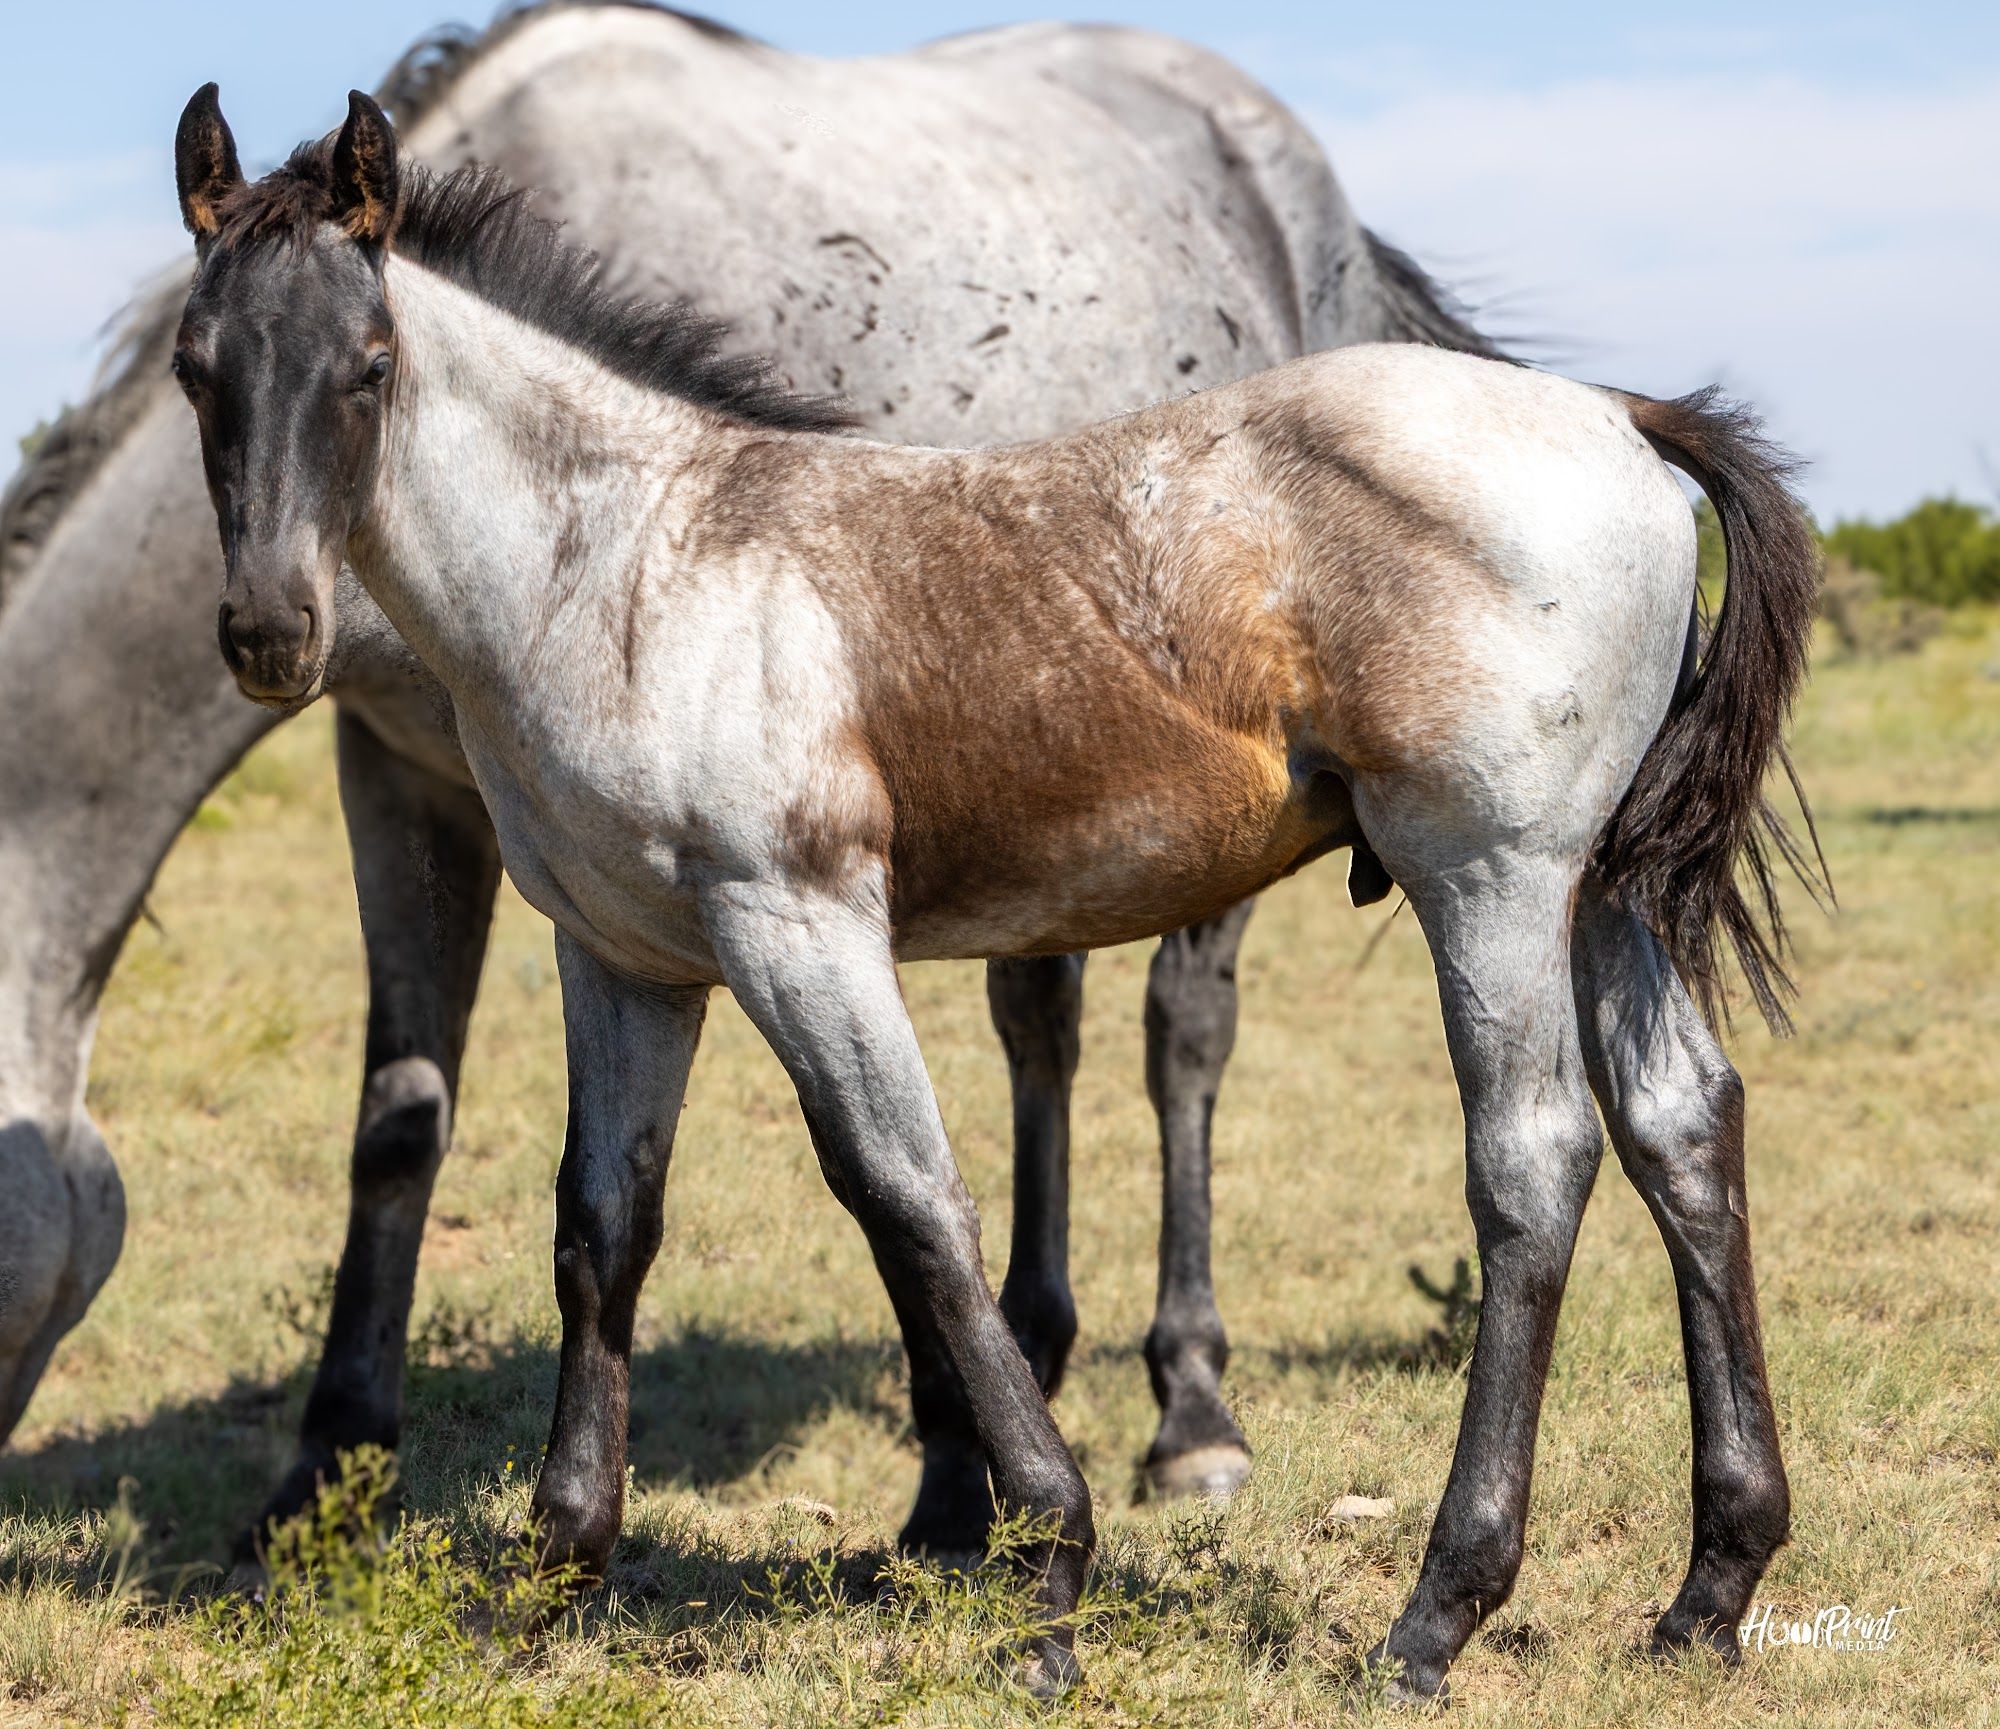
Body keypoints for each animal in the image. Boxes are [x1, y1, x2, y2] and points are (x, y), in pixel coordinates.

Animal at [0, 1, 1499, 1540]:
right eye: (192, 373)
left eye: (369, 370)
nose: (264, 628)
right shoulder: (405, 770)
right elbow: (403, 1117)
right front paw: (326, 1470)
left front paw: (961, 1466)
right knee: (1041, 1024)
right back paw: (1036, 1340)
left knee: (1181, 1037)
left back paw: (1188, 1410)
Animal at [167, 85, 1817, 1698]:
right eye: (196, 371)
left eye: (370, 366)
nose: (266, 632)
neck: (633, 563)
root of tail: (1620, 416)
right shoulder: (623, 955)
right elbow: (602, 1227)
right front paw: (555, 1575)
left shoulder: (799, 924)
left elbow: (911, 1199)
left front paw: (1049, 1572)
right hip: (1598, 893)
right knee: (1684, 1123)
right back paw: (1710, 1588)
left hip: (1489, 874)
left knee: (1533, 1162)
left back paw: (1434, 1616)